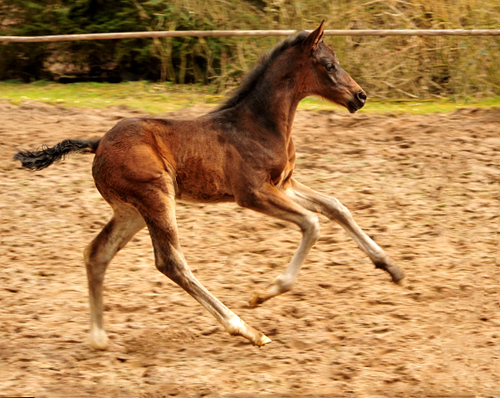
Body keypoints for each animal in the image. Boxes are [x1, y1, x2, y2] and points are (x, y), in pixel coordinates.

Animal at [14, 22, 406, 348]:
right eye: (328, 64)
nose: (360, 96)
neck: (259, 124)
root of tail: (98, 143)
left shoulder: (284, 184)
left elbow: (337, 207)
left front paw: (392, 268)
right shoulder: (253, 193)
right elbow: (313, 224)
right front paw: (265, 293)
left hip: (131, 211)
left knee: (97, 253)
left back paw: (98, 338)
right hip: (156, 197)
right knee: (170, 262)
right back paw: (245, 328)